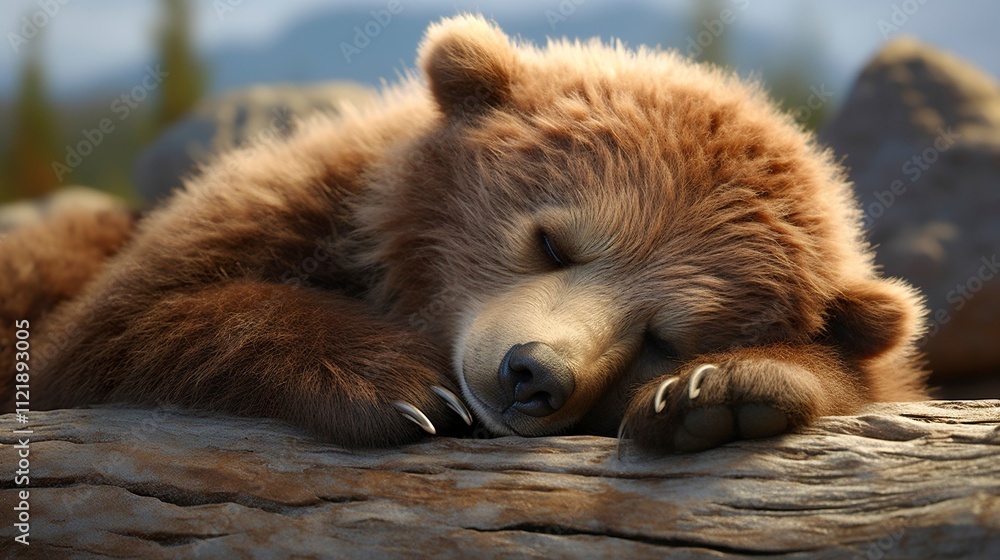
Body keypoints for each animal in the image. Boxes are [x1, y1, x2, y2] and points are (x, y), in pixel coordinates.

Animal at [1, 15, 928, 452]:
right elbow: (121, 329)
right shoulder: (278, 212)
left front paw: (721, 391)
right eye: (553, 241)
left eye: (663, 336)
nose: (533, 375)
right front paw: (400, 384)